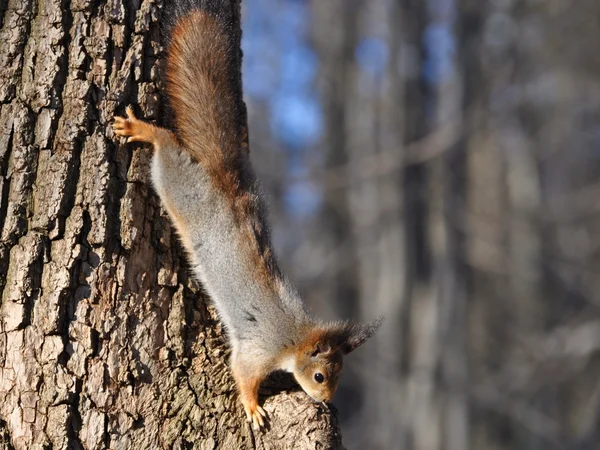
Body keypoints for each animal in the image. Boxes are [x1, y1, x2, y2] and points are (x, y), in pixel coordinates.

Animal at [111, 0, 380, 430]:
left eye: (340, 375)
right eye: (320, 376)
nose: (326, 402)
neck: (294, 338)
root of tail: (222, 182)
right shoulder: (259, 349)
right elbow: (244, 374)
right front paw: (253, 408)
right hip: (178, 183)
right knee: (166, 145)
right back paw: (143, 129)